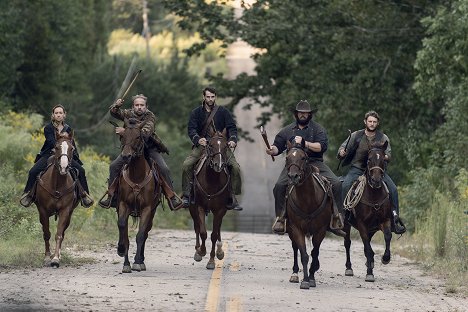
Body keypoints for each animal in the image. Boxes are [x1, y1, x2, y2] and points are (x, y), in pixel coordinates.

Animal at [34, 133, 79, 266]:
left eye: (72, 148)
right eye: (57, 147)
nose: (64, 167)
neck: (57, 184)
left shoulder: (65, 210)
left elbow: (59, 234)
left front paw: (55, 258)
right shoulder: (43, 210)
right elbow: (46, 233)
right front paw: (47, 257)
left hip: (69, 215)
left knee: (63, 233)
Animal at [116, 119, 162, 272]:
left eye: (137, 137)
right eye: (123, 136)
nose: (126, 156)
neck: (136, 176)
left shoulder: (147, 208)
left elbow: (141, 234)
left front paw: (137, 262)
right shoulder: (123, 205)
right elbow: (122, 228)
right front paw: (122, 254)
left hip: (151, 212)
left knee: (146, 232)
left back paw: (141, 260)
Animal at [188, 130, 229, 270]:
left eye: (226, 146)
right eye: (210, 145)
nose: (218, 165)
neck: (212, 179)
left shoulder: (220, 209)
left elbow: (214, 235)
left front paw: (211, 261)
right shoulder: (199, 206)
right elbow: (203, 232)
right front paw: (201, 251)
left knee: (218, 228)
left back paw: (220, 251)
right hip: (192, 208)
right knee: (196, 226)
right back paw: (197, 251)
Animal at [284, 143, 334, 288]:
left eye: (303, 158)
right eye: (287, 158)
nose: (293, 176)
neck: (308, 201)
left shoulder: (320, 230)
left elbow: (315, 253)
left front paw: (311, 277)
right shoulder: (296, 228)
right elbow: (304, 254)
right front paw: (305, 280)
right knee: (295, 248)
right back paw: (294, 274)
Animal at [342, 140, 394, 282]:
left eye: (384, 159)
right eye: (369, 159)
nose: (376, 180)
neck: (374, 195)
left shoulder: (385, 220)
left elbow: (388, 236)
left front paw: (385, 258)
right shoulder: (362, 224)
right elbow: (367, 247)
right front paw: (369, 273)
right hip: (347, 225)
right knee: (347, 243)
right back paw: (349, 268)